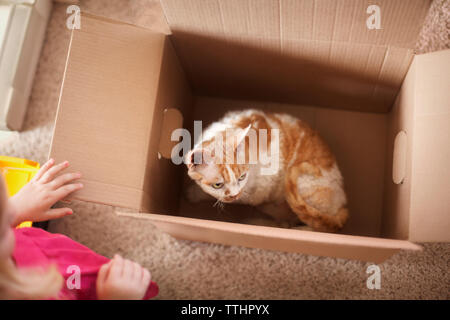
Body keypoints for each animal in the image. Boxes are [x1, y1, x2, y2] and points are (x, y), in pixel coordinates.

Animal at [185, 109, 350, 231]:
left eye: (242, 177)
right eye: (217, 185)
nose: (234, 195)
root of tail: (343, 206)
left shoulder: (259, 189)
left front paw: (194, 194)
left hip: (304, 184)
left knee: (311, 226)